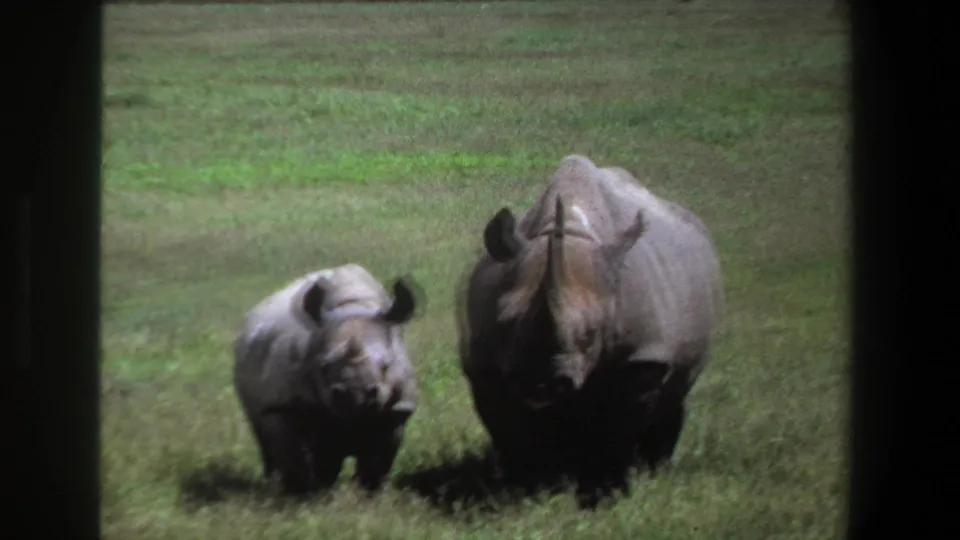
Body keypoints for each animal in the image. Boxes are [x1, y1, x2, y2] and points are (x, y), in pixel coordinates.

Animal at [233, 264, 421, 496]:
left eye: (386, 366)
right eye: (322, 367)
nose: (355, 394)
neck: (354, 306)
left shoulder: (396, 409)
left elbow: (377, 462)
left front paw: (368, 495)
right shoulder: (283, 405)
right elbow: (292, 455)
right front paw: (301, 495)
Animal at [456, 155, 723, 508]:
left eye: (591, 334)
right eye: (504, 322)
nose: (541, 381)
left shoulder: (643, 357)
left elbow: (617, 429)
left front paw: (604, 496)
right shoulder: (485, 364)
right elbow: (508, 428)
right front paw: (526, 490)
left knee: (674, 395)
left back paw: (655, 471)